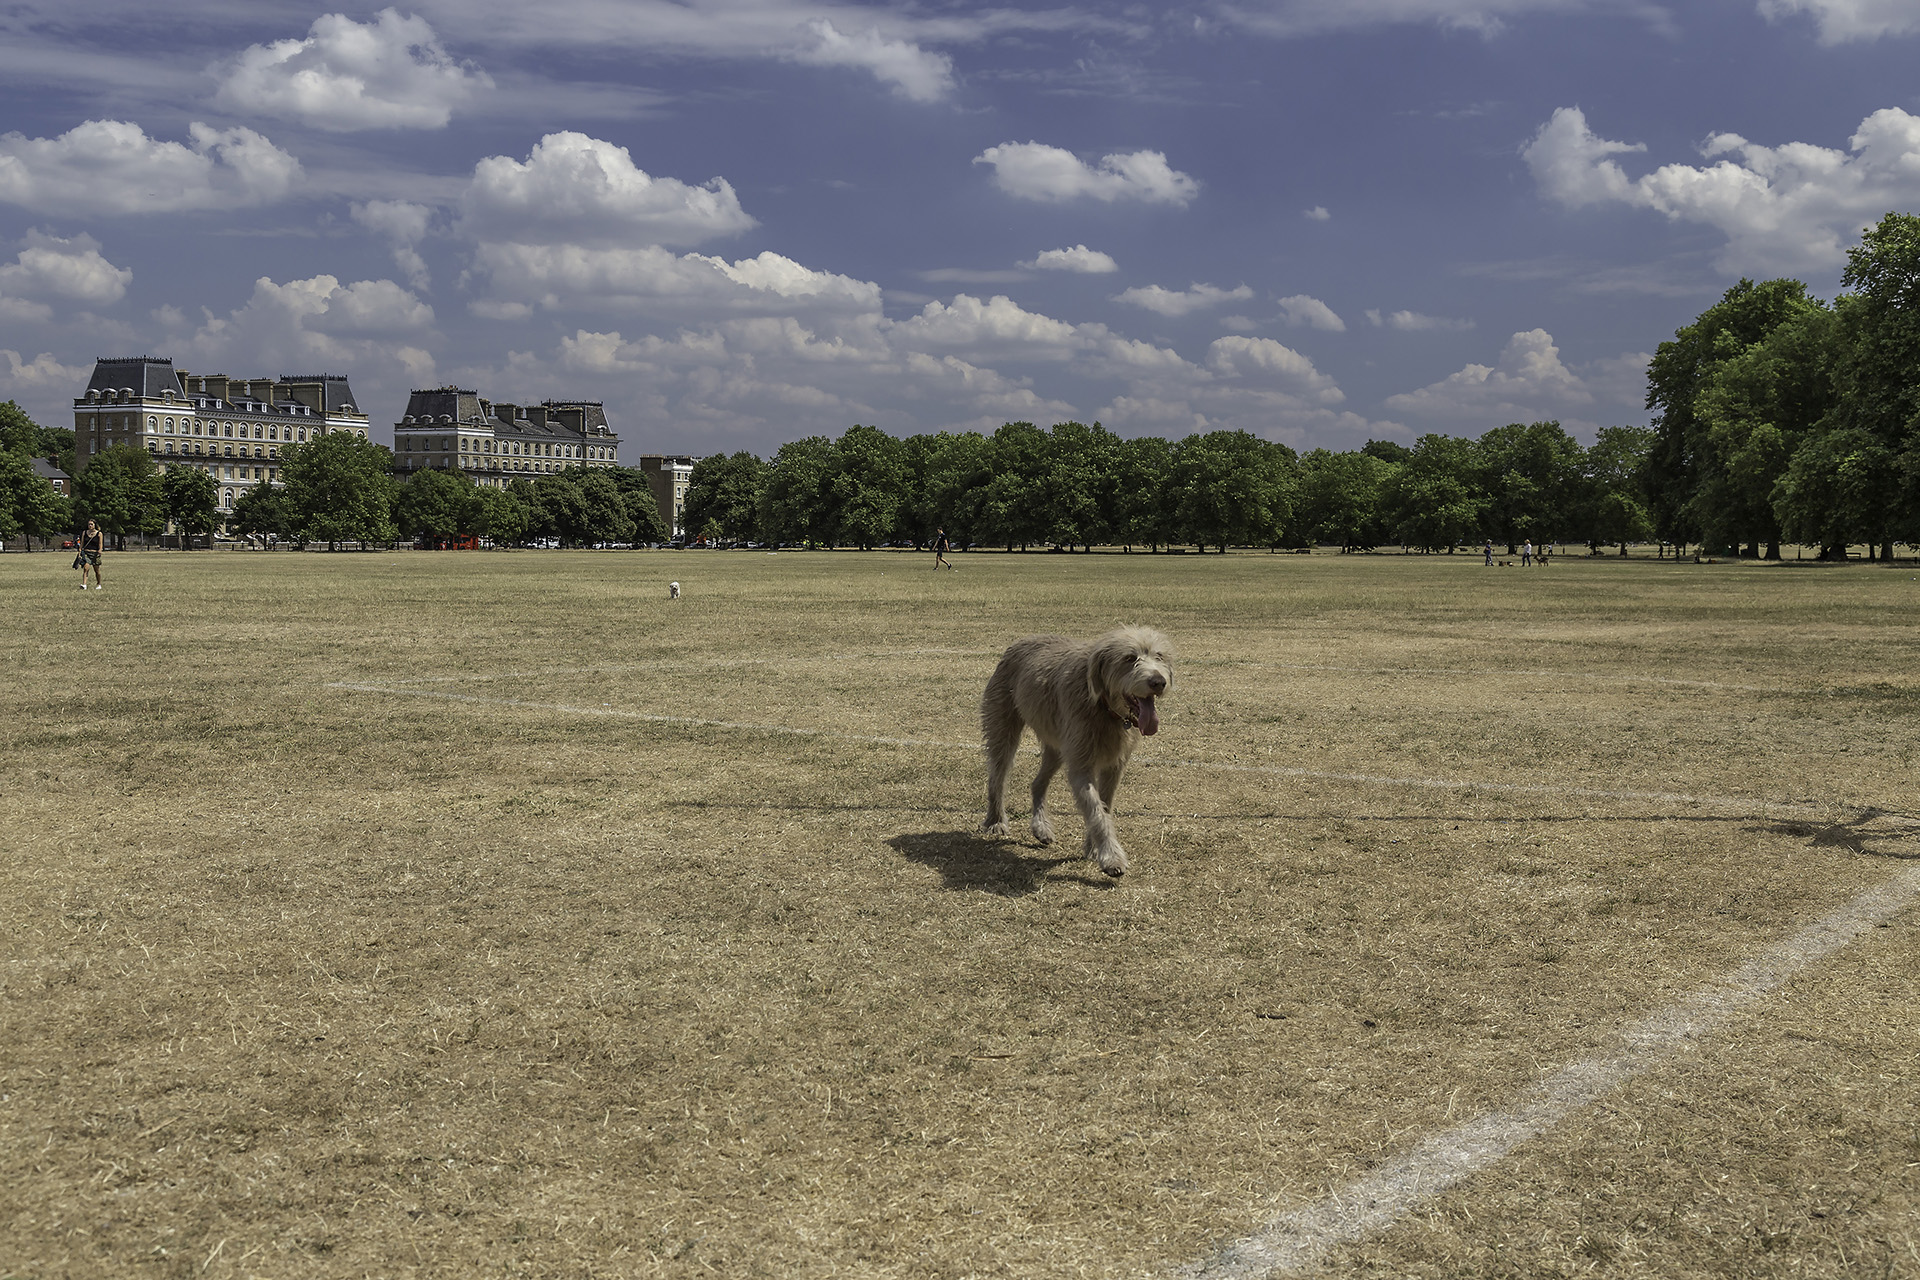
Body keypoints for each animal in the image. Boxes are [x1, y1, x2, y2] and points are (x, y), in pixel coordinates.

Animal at [990, 625, 1167, 875]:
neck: (1105, 708)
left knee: (1038, 782)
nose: (1159, 681)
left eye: (1159, 656)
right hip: (1003, 725)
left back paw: (1041, 827)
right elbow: (1095, 810)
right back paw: (995, 821)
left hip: (1057, 747)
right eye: (1129, 658)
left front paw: (1094, 848)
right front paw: (1111, 857)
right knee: (998, 773)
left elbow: (1104, 805)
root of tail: (1022, 640)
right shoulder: (1082, 765)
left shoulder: (1115, 766)